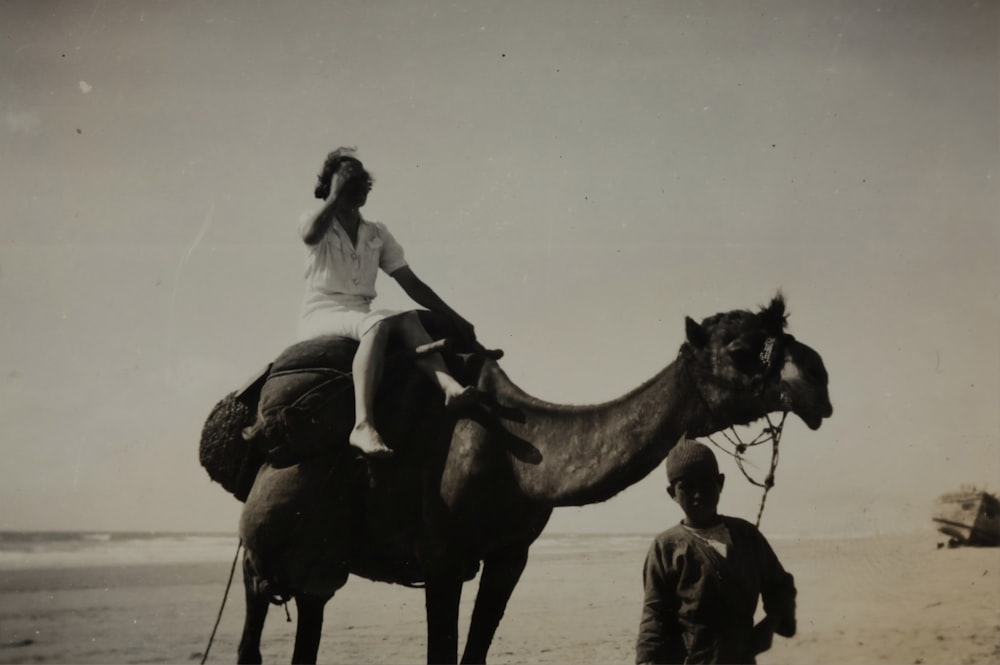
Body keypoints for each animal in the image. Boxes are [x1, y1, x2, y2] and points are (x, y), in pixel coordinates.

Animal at [197, 296, 828, 664]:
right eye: (742, 349)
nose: (818, 379)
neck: (517, 461)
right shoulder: (442, 558)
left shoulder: (509, 558)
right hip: (261, 558)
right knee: (251, 638)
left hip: (316, 566)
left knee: (311, 616)